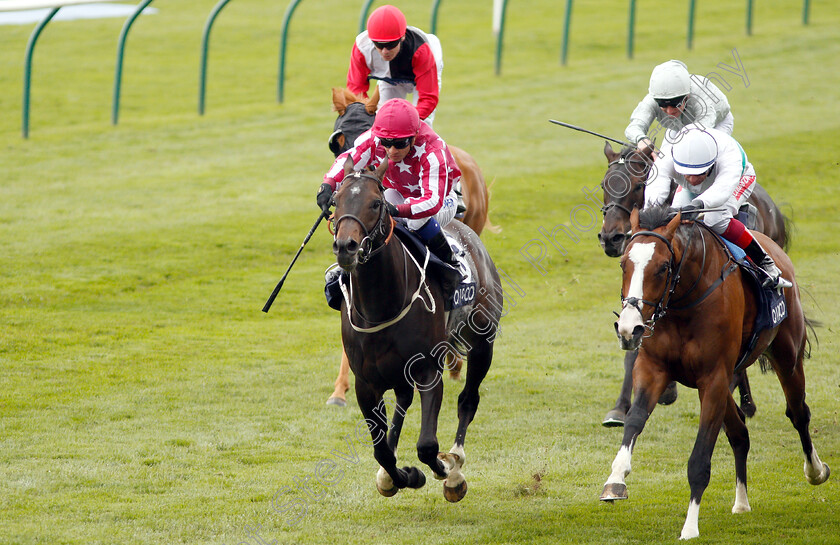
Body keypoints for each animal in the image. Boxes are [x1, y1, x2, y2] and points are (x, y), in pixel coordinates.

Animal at [330, 160, 502, 502]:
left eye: (376, 203)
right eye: (336, 201)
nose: (346, 247)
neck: (380, 306)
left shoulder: (428, 371)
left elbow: (427, 445)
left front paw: (444, 470)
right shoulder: (366, 384)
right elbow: (381, 451)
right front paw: (400, 475)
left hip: (482, 344)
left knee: (468, 400)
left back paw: (456, 463)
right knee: (403, 400)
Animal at [600, 207, 832, 540]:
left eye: (663, 267)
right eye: (623, 264)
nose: (629, 328)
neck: (683, 303)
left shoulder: (714, 377)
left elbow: (700, 458)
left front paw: (690, 526)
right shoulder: (654, 368)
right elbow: (634, 419)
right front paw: (616, 480)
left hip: (786, 356)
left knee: (798, 412)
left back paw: (815, 470)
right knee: (740, 434)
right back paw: (741, 502)